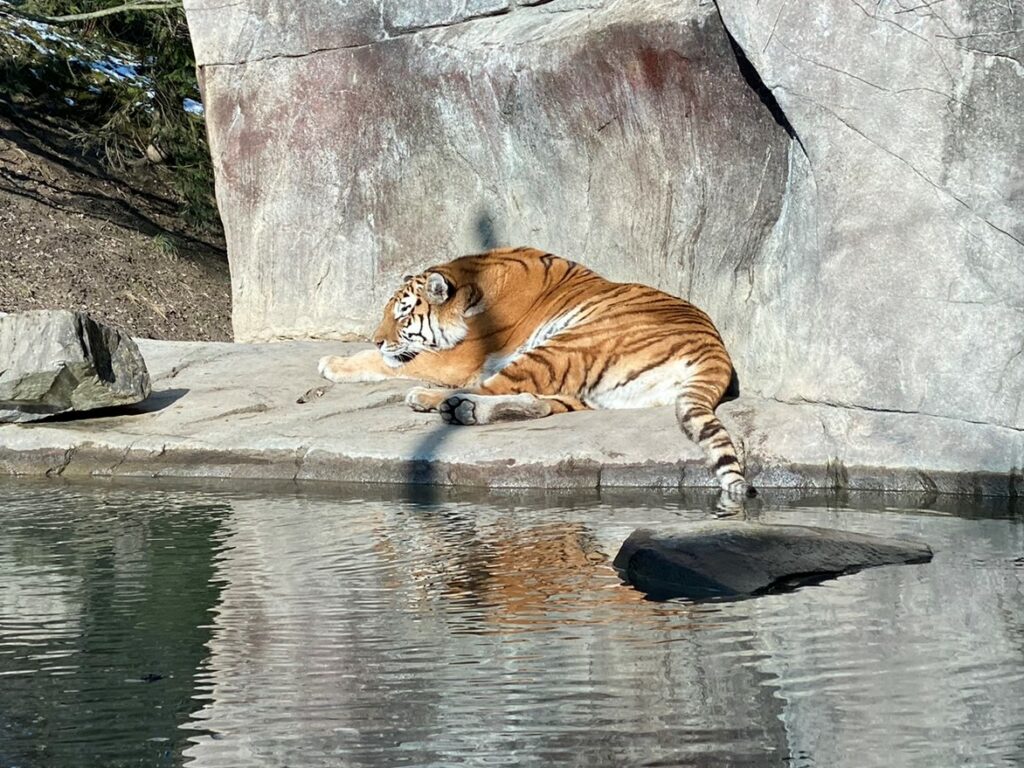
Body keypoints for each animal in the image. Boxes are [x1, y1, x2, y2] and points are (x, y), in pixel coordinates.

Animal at [318, 246, 754, 496]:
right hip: (589, 385)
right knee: (538, 401)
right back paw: (464, 409)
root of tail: (716, 352)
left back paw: (435, 400)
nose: (376, 338)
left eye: (403, 313)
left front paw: (333, 364)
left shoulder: (461, 358)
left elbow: (392, 362)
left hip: (565, 344)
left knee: (494, 387)